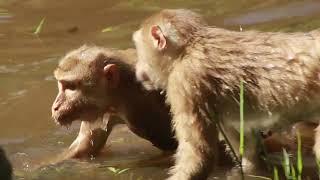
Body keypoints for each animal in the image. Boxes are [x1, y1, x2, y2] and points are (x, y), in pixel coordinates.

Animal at [132, 8, 320, 180]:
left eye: (140, 51)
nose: (138, 69)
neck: (189, 48)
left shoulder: (185, 83)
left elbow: (200, 156)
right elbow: (247, 148)